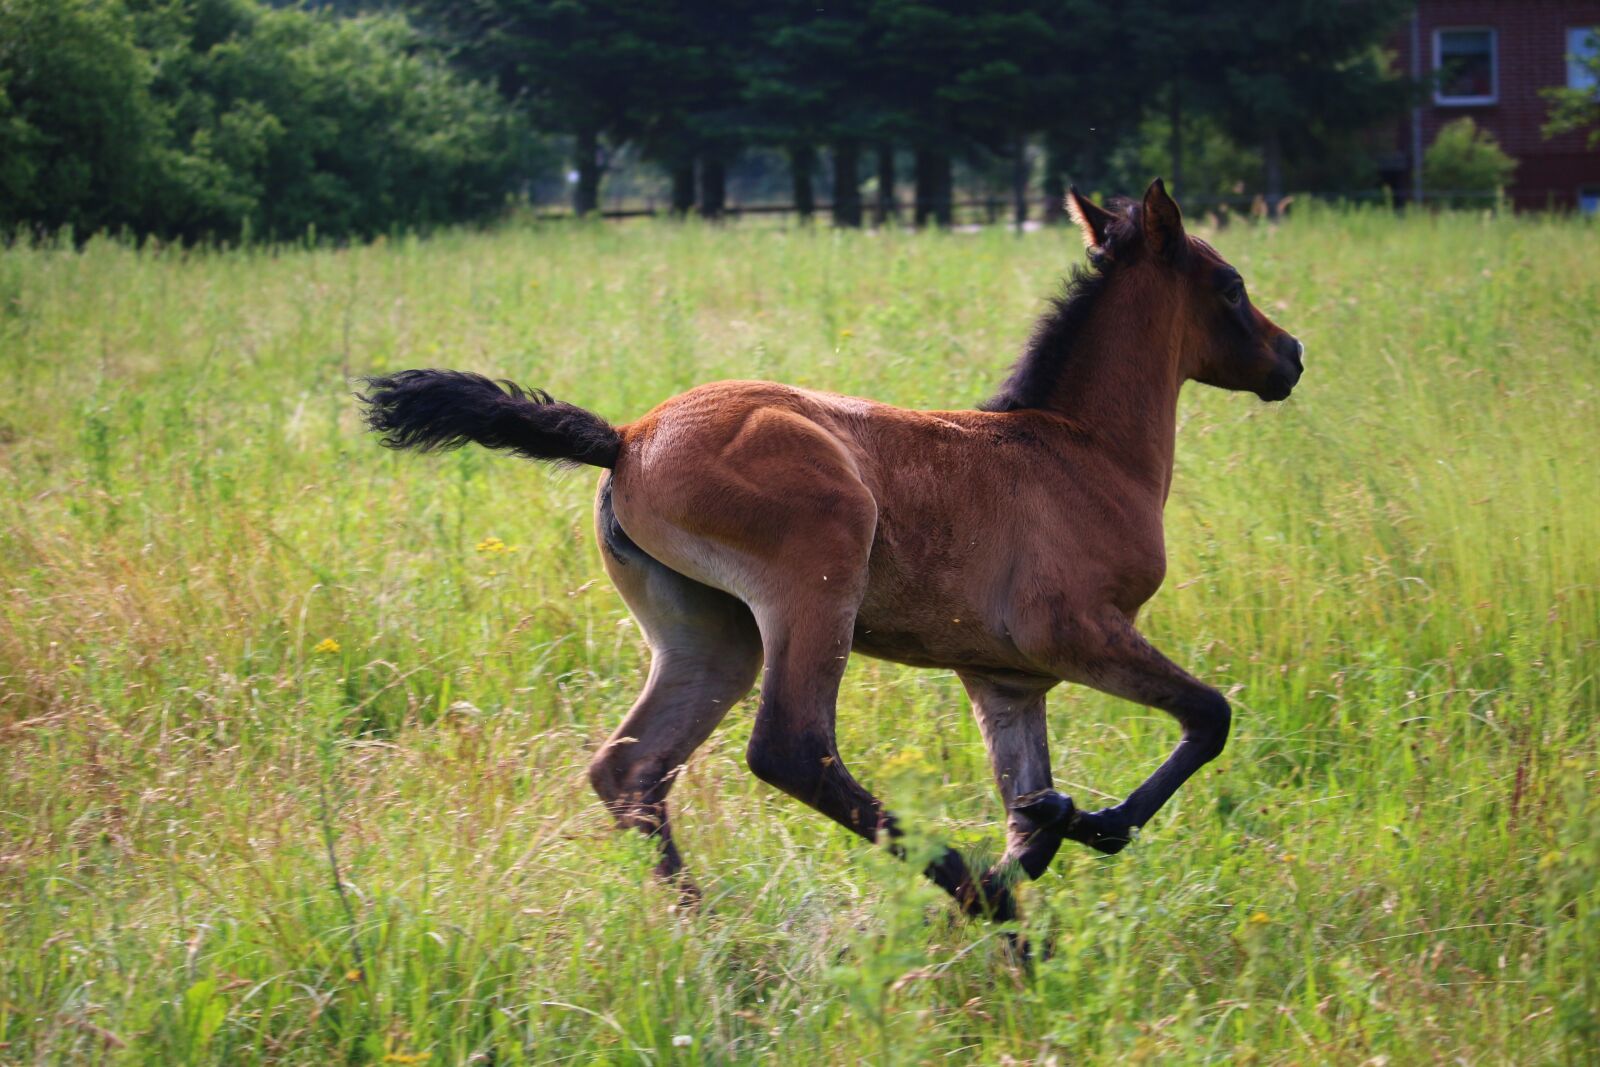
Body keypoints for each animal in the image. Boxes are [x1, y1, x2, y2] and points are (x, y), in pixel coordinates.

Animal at [359, 180, 1304, 923]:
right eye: (1231, 286)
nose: (1291, 355)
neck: (1082, 449)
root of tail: (626, 438)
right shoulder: (1070, 631)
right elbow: (1209, 715)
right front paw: (1091, 830)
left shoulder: (1004, 678)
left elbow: (1026, 816)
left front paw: (1045, 843)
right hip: (818, 578)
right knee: (789, 747)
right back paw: (956, 889)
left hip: (711, 636)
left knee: (631, 768)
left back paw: (711, 932)